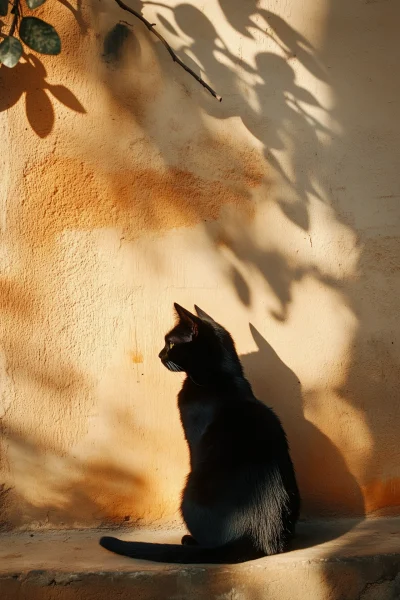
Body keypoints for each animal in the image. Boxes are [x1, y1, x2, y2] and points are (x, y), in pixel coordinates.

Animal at [100, 304, 300, 564]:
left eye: (170, 343)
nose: (159, 354)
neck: (221, 378)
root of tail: (256, 536)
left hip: (188, 493)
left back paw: (189, 541)